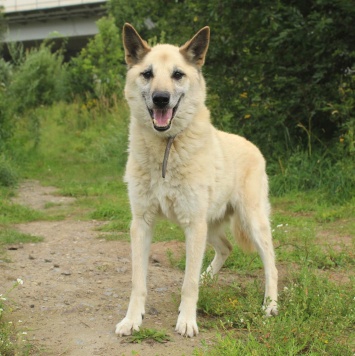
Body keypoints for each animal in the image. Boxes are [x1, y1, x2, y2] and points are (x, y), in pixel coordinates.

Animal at [115, 24, 280, 336]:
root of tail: (253, 147)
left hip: (250, 223)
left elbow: (188, 283)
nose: (161, 99)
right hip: (210, 226)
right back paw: (208, 279)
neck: (167, 146)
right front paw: (132, 320)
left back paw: (270, 307)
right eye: (147, 74)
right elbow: (137, 281)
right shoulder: (142, 223)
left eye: (178, 74)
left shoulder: (193, 225)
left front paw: (187, 321)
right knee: (226, 248)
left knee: (271, 266)